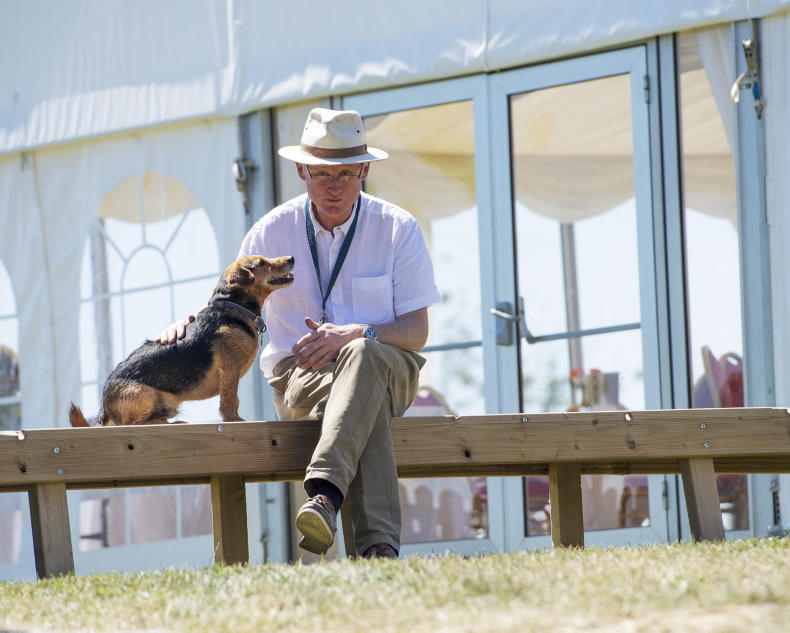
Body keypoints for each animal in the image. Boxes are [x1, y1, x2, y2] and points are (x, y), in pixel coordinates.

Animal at [69, 255, 294, 427]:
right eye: (262, 263)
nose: (291, 258)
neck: (232, 307)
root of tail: (104, 403)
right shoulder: (230, 369)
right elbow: (231, 399)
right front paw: (234, 420)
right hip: (145, 394)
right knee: (130, 424)